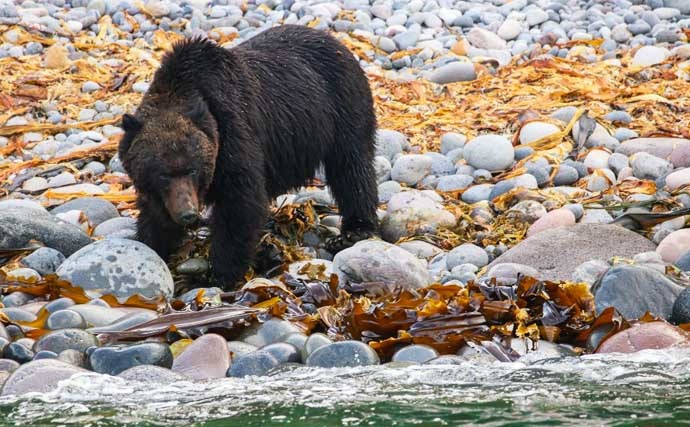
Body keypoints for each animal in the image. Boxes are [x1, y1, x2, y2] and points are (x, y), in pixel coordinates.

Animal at [118, 24, 376, 290]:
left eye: (192, 169)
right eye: (162, 174)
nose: (187, 214)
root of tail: (337, 41)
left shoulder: (233, 133)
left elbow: (240, 202)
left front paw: (220, 273)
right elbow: (155, 215)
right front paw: (151, 243)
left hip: (342, 106)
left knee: (351, 168)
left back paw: (353, 231)